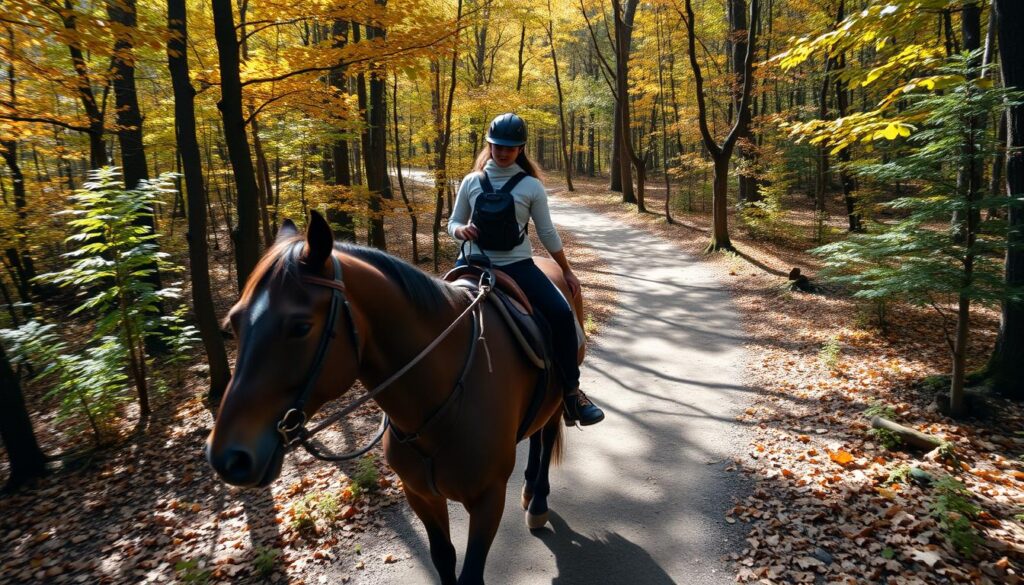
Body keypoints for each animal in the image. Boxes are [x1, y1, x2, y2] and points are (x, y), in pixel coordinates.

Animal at [206, 211, 585, 584]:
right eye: (234, 323)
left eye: (300, 327)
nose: (227, 457)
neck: (439, 397)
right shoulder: (420, 495)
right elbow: (443, 558)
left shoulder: (488, 499)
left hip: (557, 402)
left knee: (546, 437)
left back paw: (537, 502)